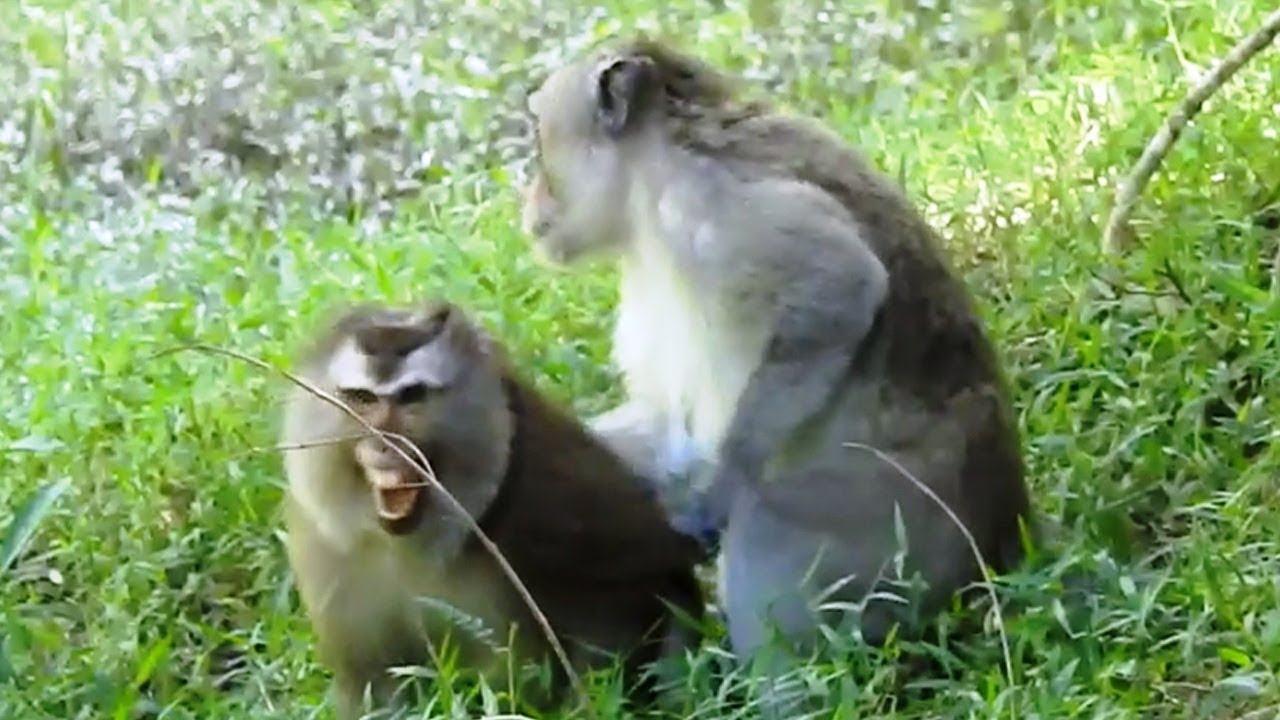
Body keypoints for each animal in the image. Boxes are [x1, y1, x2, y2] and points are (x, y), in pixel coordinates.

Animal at [279, 298, 707, 719]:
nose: (385, 445)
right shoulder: (326, 547)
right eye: (362, 398)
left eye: (412, 396)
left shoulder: (540, 511)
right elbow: (371, 684)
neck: (404, 545)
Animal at [519, 36, 1034, 669]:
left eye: (539, 142)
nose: (529, 199)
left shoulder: (707, 203)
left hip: (899, 535)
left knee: (764, 525)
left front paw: (723, 486)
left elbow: (839, 295)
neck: (646, 183)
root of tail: (1006, 533)